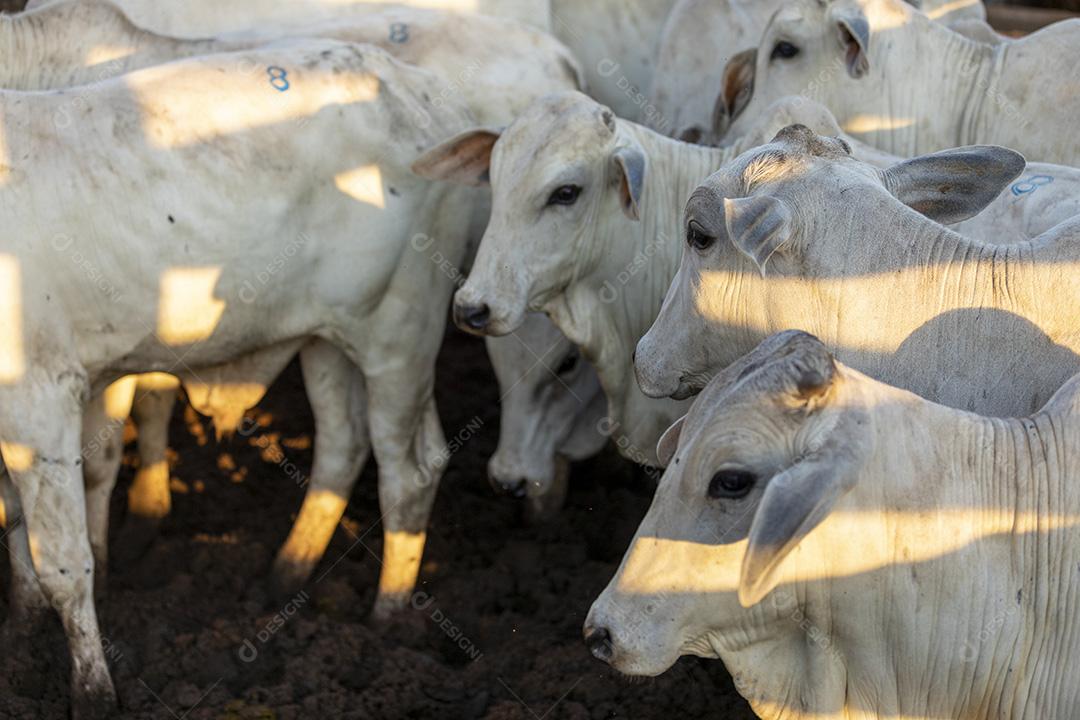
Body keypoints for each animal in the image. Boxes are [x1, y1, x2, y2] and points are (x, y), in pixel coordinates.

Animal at [0, 40, 475, 716]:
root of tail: (415, 85)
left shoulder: (38, 399)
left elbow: (62, 565)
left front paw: (93, 692)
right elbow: (17, 540)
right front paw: (17, 643)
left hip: (401, 332)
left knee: (411, 469)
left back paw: (386, 616)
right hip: (329, 340)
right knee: (344, 443)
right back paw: (286, 574)